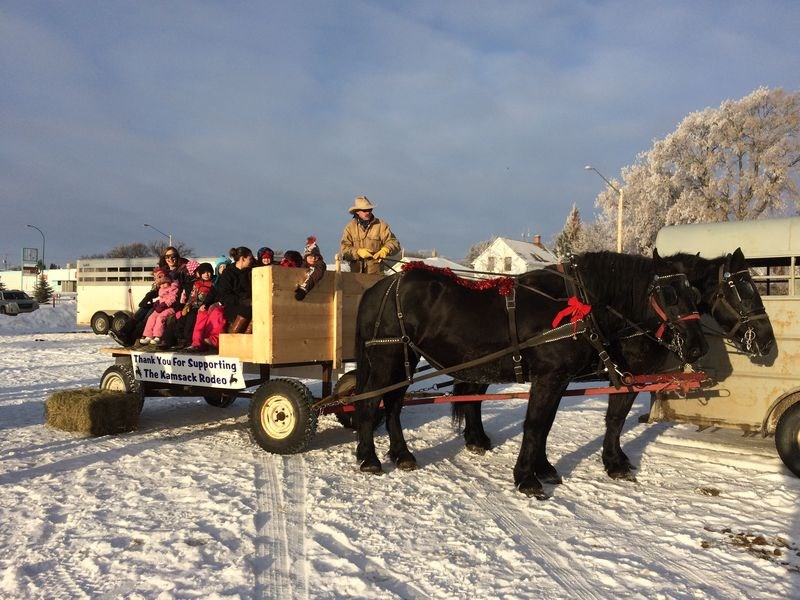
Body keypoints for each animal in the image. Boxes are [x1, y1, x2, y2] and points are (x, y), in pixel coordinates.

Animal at [354, 251, 708, 500]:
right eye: (669, 294)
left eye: (696, 294)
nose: (697, 348)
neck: (577, 306)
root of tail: (380, 288)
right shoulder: (549, 377)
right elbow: (536, 425)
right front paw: (527, 478)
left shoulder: (562, 380)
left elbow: (550, 425)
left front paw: (545, 468)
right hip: (387, 359)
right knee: (371, 405)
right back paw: (369, 459)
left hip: (404, 362)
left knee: (394, 406)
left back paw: (402, 455)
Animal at [454, 247, 772, 482]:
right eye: (742, 291)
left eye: (693, 296)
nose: (768, 341)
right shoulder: (623, 375)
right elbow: (612, 419)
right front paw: (614, 463)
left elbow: (606, 420)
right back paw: (476, 439)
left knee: (472, 395)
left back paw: (476, 438)